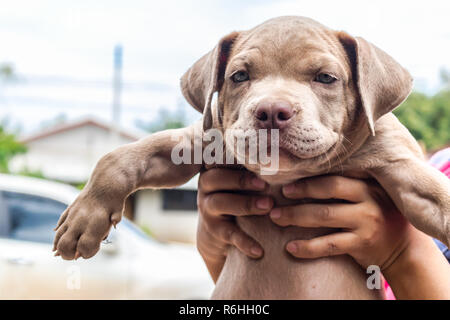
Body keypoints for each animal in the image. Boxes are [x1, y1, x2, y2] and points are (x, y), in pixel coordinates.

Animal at [53, 16, 450, 298]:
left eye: (326, 78)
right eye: (239, 76)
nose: (272, 111)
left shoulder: (400, 164)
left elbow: (439, 198)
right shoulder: (197, 141)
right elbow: (117, 158)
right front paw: (83, 220)